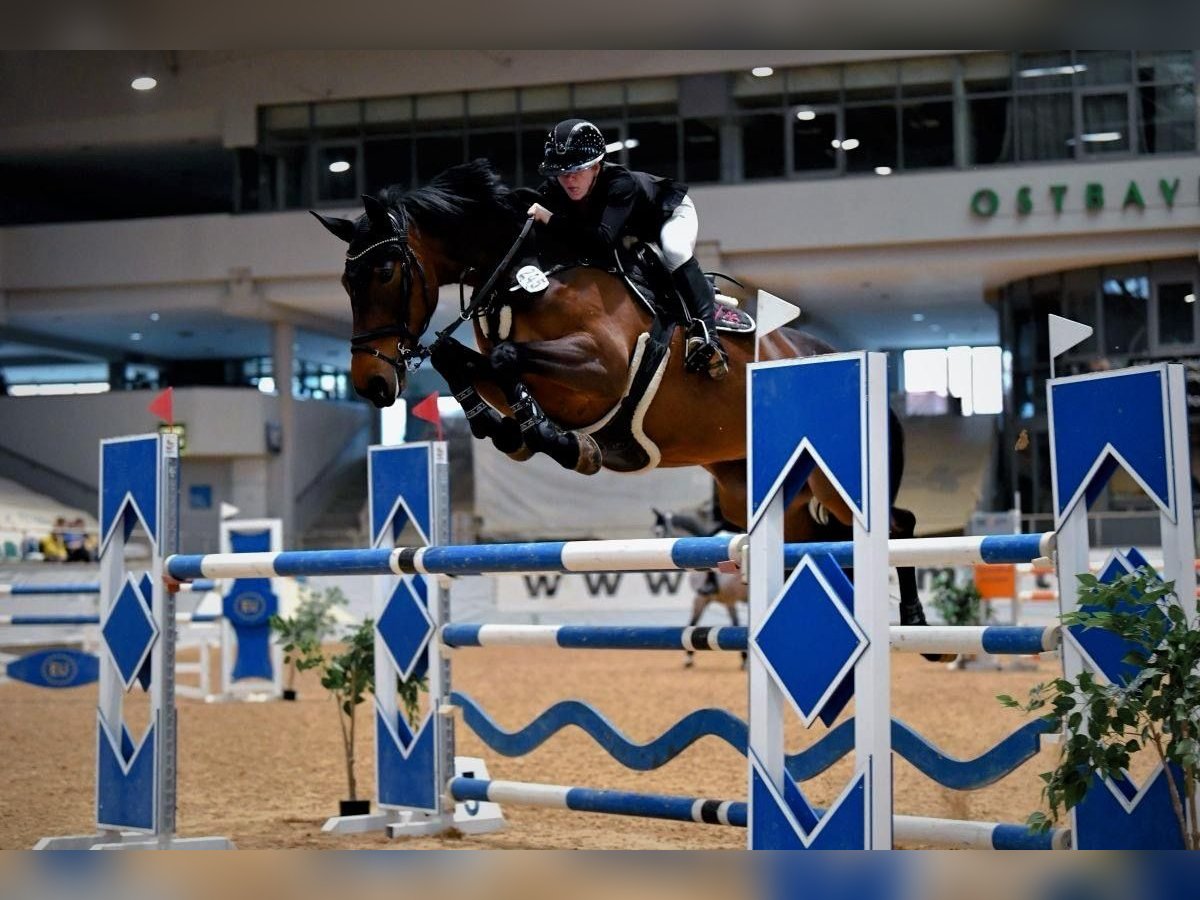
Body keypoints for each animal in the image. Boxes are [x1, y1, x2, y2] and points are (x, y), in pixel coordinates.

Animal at [314, 157, 931, 633]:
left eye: (387, 270)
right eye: (345, 282)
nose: (370, 383)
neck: (529, 271)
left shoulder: (603, 367)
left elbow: (508, 359)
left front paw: (552, 438)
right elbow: (463, 360)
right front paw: (512, 430)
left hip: (829, 478)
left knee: (898, 524)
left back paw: (919, 624)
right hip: (762, 494)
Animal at [652, 508, 744, 672]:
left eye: (659, 532)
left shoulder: (701, 598)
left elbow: (692, 623)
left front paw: (688, 658)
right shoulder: (728, 601)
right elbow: (735, 624)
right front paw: (744, 658)